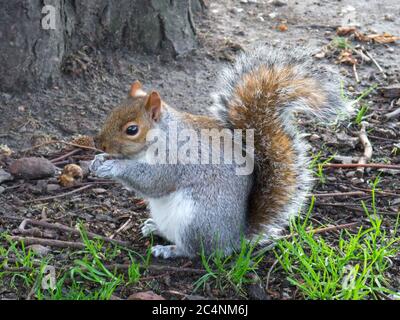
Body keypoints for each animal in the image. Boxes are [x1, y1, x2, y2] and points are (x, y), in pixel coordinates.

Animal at [90, 45, 350, 258]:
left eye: (132, 130)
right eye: (111, 113)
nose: (100, 144)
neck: (161, 135)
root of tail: (235, 237)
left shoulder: (176, 158)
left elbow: (154, 181)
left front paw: (113, 166)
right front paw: (98, 160)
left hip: (196, 220)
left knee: (198, 251)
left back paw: (170, 250)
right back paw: (155, 228)